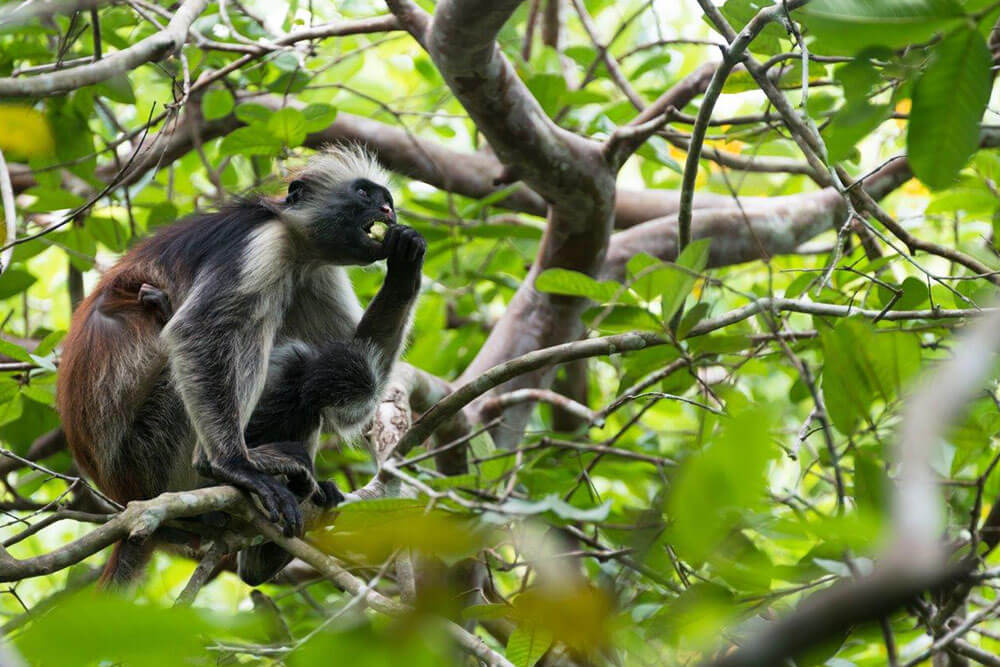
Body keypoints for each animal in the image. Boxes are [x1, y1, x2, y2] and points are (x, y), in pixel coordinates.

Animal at [57, 146, 426, 584]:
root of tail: (122, 491)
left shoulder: (316, 271)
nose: (387, 209)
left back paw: (265, 551)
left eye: (386, 198)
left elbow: (356, 388)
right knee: (265, 344)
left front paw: (406, 269)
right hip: (154, 449)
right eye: (365, 193)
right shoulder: (261, 245)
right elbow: (198, 330)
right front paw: (234, 466)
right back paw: (225, 466)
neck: (292, 237)